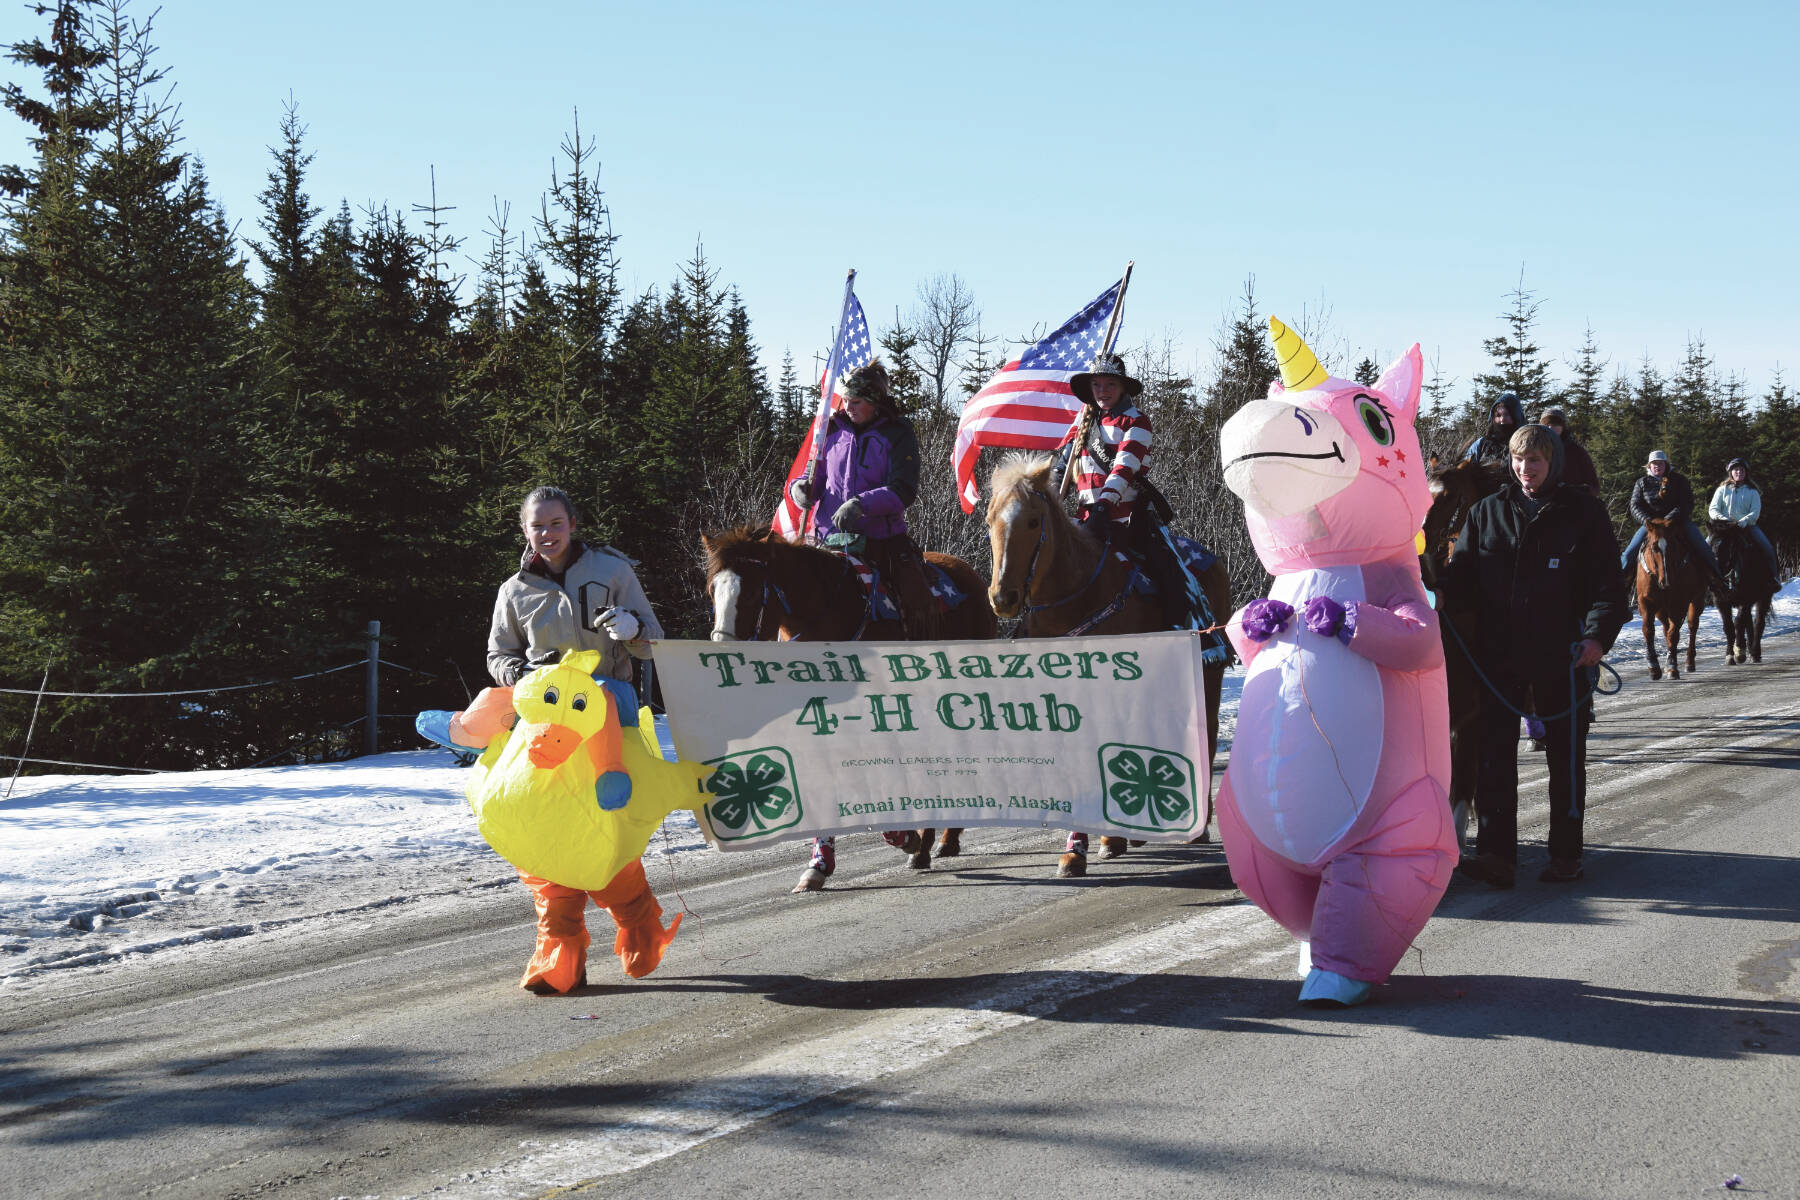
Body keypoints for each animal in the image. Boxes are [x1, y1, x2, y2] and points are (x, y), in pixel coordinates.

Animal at [979, 455, 1231, 877]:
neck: (1076, 595)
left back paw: (1198, 828)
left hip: (1208, 673)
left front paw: (1097, 840)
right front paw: (1080, 846)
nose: (1003, 598)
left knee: (1206, 733)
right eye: (989, 519)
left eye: (1032, 520)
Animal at [1641, 518, 1706, 683]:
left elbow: (1673, 634)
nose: (1666, 581)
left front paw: (1672, 667)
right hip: (1661, 610)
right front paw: (1653, 667)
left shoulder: (1679, 603)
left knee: (1692, 626)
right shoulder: (1646, 602)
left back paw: (1689, 663)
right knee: (1665, 627)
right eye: (1654, 547)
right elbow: (1648, 630)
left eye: (1673, 546)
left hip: (1697, 601)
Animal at [1706, 518, 1778, 665]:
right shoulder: (1721, 601)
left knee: (1758, 623)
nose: (1714, 570)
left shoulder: (1745, 599)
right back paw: (1749, 649)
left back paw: (1755, 653)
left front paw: (1739, 651)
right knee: (1749, 622)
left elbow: (1738, 622)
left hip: (1765, 597)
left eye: (1727, 545)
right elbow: (1728, 627)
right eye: (1710, 543)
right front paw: (1729, 656)